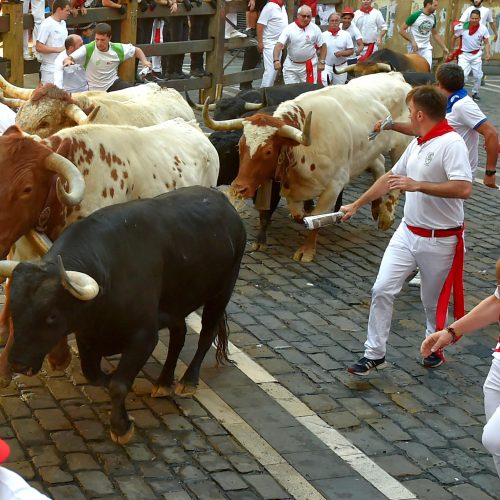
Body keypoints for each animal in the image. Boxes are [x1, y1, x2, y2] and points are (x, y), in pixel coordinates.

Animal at [0, 188, 246, 446]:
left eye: (52, 315)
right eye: (13, 308)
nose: (17, 363)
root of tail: (223, 200)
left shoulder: (144, 337)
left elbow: (119, 385)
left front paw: (121, 427)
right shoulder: (88, 337)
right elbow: (93, 373)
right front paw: (108, 381)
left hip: (222, 290)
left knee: (207, 333)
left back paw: (187, 381)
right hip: (176, 304)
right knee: (179, 335)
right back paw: (163, 382)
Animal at [205, 73, 412, 264]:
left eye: (268, 151)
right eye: (240, 146)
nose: (239, 188)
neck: (305, 150)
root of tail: (395, 76)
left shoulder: (334, 185)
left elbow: (317, 217)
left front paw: (307, 250)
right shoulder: (291, 188)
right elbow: (300, 216)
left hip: (402, 146)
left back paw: (386, 215)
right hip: (368, 152)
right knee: (379, 165)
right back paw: (376, 205)